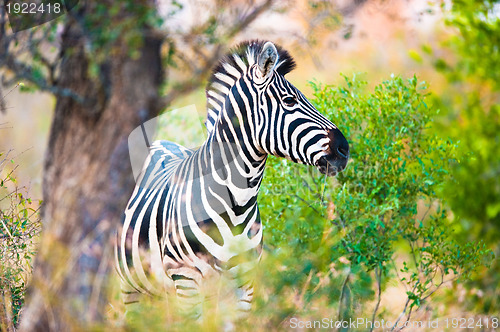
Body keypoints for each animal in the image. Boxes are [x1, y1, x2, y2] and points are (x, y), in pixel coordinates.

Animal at [114, 39, 350, 320]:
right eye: (289, 100)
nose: (344, 149)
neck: (237, 203)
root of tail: (160, 143)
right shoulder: (186, 279)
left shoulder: (243, 285)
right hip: (132, 287)